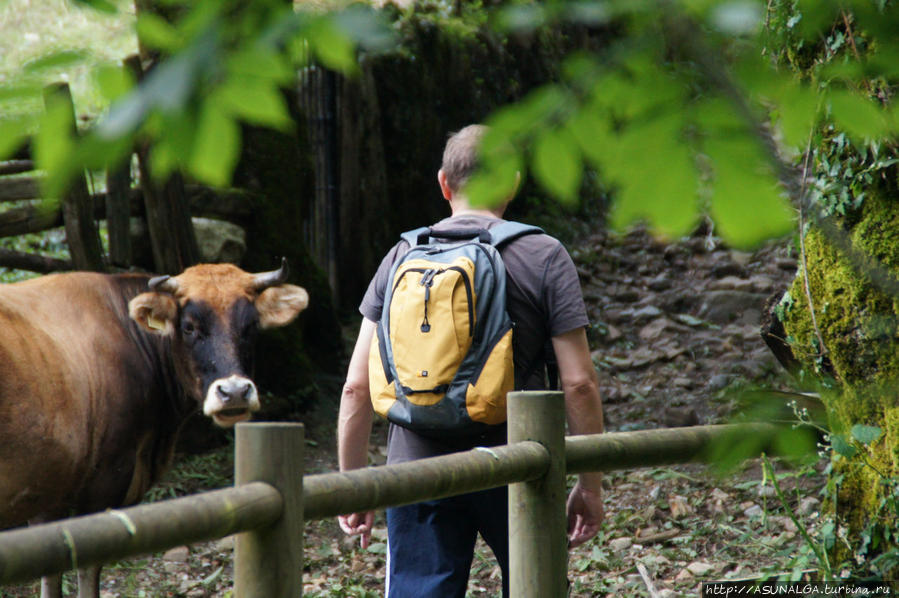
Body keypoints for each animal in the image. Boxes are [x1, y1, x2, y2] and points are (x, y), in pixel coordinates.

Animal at [0, 262, 310, 598]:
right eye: (188, 327)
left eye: (251, 325)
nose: (235, 392)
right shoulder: (105, 481)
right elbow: (87, 567)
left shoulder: (50, 488)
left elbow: (51, 570)